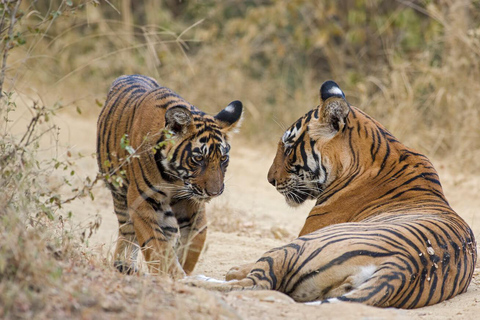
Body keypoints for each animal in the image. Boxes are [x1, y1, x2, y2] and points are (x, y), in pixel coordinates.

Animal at [96, 74, 244, 278]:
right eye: (198, 158)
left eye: (223, 158)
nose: (214, 193)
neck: (175, 178)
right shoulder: (141, 200)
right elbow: (156, 244)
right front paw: (172, 274)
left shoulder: (190, 201)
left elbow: (197, 237)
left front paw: (184, 268)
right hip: (119, 193)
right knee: (127, 231)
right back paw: (123, 265)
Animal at [184, 79, 476, 308]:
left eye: (288, 148)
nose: (270, 180)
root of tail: (402, 267)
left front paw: (233, 269)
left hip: (295, 247)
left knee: (256, 283)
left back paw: (194, 280)